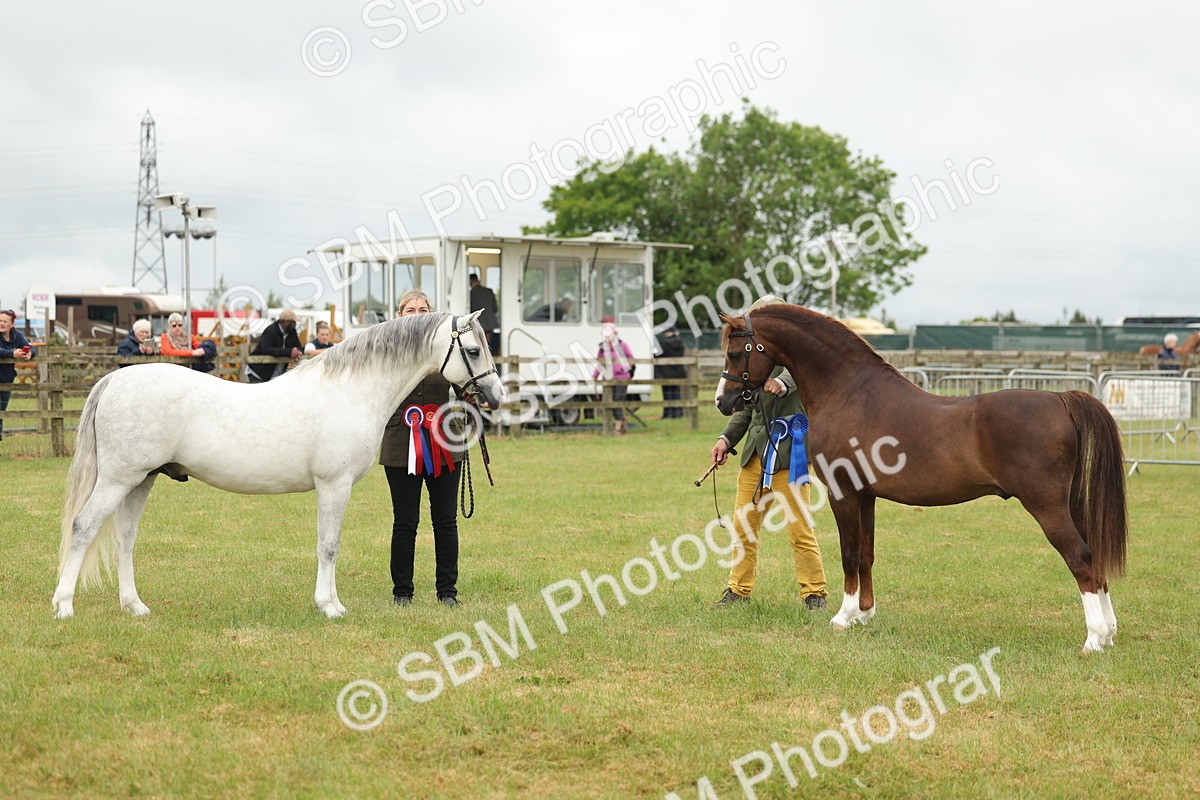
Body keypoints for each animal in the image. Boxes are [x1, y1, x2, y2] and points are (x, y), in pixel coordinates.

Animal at [52, 311, 505, 620]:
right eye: (473, 349)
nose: (497, 396)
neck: (351, 390)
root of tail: (116, 379)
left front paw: (329, 603)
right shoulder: (334, 485)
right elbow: (329, 545)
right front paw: (330, 606)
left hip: (140, 481)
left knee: (125, 538)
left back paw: (135, 606)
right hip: (118, 479)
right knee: (84, 527)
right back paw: (64, 606)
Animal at [714, 304, 1128, 653]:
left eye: (735, 352)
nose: (723, 401)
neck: (849, 392)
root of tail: (1060, 398)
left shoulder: (843, 491)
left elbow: (850, 553)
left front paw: (842, 618)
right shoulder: (866, 495)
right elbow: (867, 552)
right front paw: (865, 614)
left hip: (1046, 506)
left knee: (1079, 556)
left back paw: (1094, 639)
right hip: (1071, 504)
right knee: (1094, 554)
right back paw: (1109, 632)